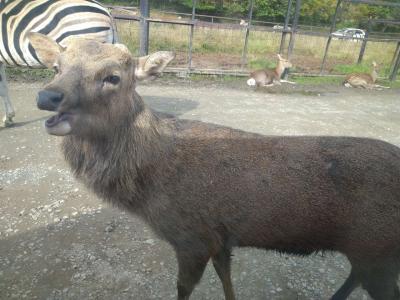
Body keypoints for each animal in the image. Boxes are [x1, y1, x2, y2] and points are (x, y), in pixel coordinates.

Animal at [29, 32, 400, 300]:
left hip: (376, 247)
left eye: (113, 77)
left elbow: (183, 288)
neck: (148, 187)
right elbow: (226, 281)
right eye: (56, 67)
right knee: (354, 276)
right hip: (371, 253)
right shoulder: (220, 237)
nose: (47, 97)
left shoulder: (192, 237)